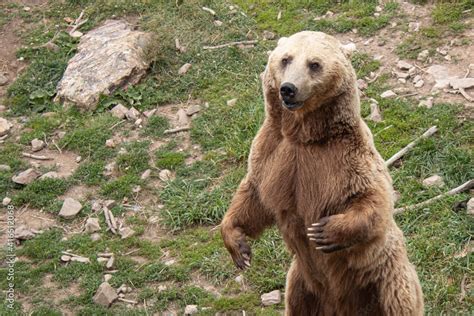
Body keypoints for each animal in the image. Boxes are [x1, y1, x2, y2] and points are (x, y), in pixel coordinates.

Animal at [220, 30, 424, 316]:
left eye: (314, 64)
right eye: (285, 59)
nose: (288, 88)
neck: (304, 134)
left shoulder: (347, 159)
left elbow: (374, 199)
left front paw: (323, 231)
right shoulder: (272, 153)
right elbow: (253, 196)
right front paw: (239, 248)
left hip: (385, 276)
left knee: (399, 299)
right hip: (302, 285)